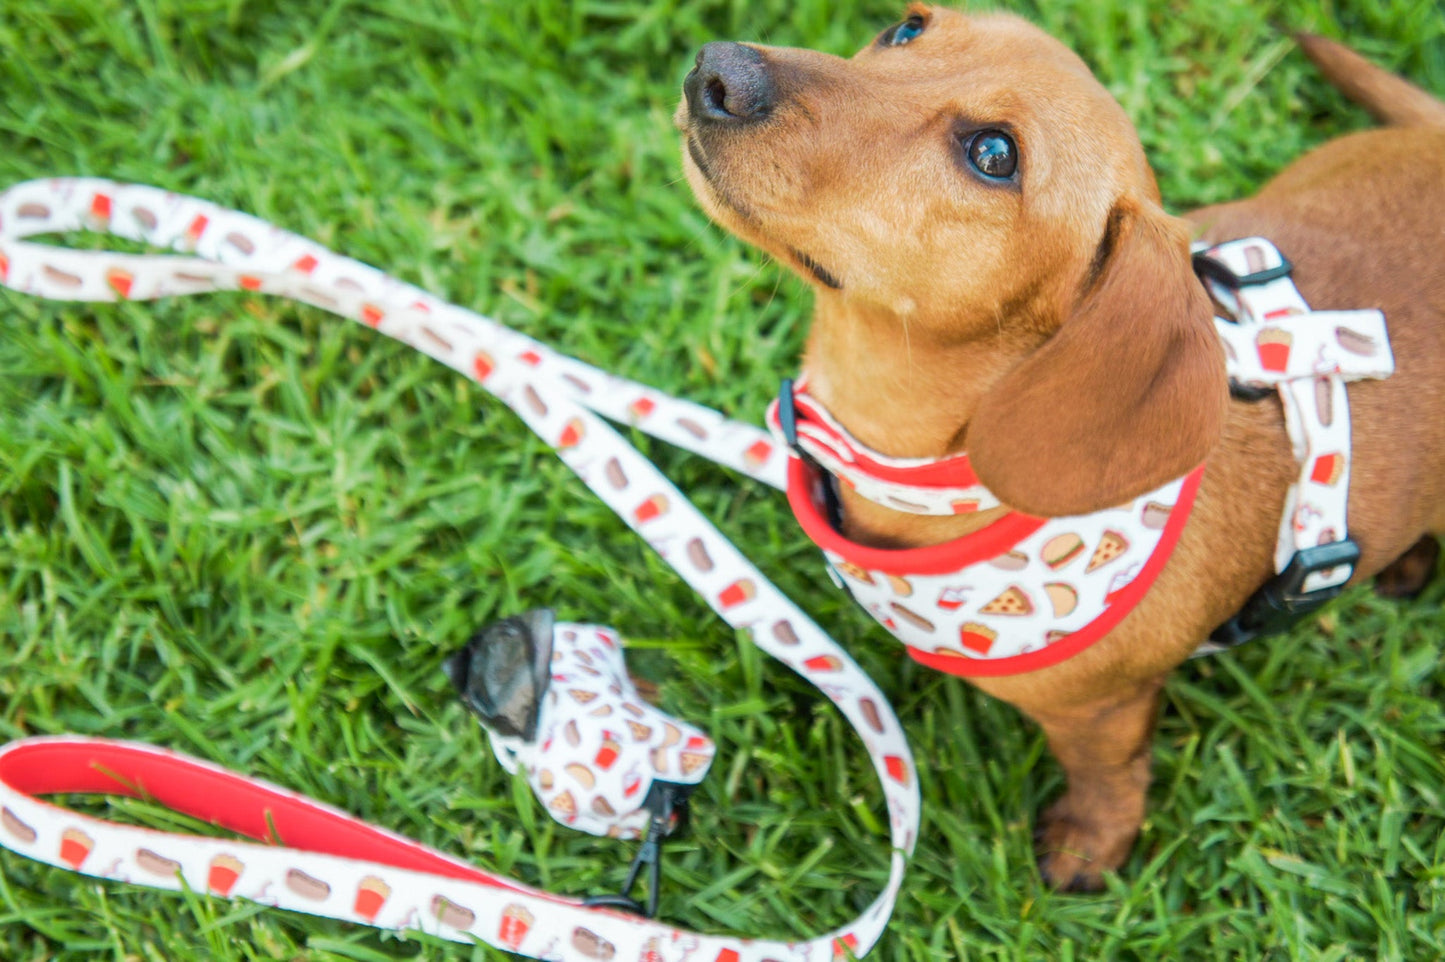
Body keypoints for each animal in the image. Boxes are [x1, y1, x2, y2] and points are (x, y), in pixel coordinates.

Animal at [673, 7, 1445, 889]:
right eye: (906, 28)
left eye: (993, 154)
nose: (718, 70)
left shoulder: (1102, 710)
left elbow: (1106, 772)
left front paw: (1089, 845)